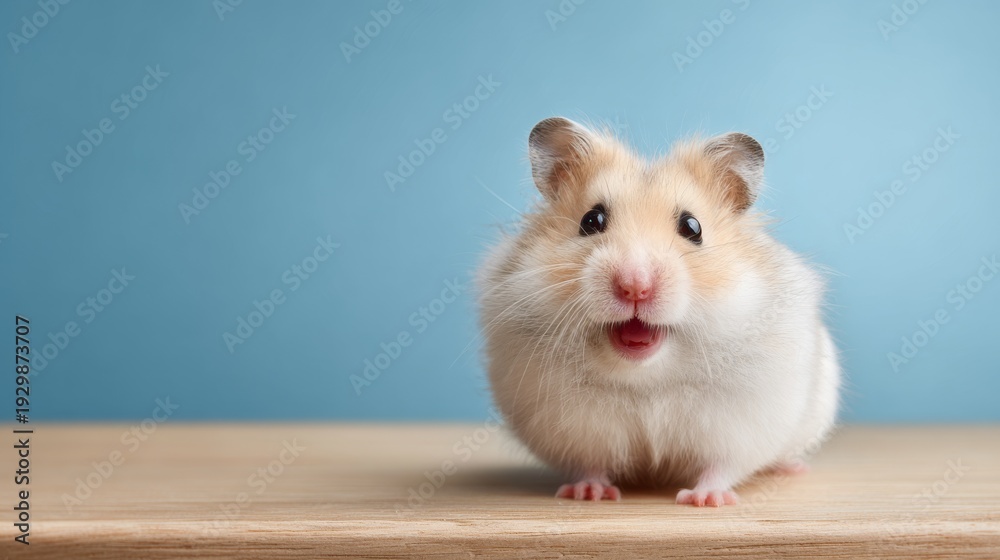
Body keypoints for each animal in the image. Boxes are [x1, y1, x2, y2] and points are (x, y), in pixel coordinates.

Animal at [477, 117, 841, 506]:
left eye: (692, 227)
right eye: (591, 220)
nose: (635, 285)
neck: (647, 378)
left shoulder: (741, 427)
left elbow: (721, 466)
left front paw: (705, 500)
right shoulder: (570, 427)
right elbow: (589, 463)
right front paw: (588, 493)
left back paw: (791, 468)